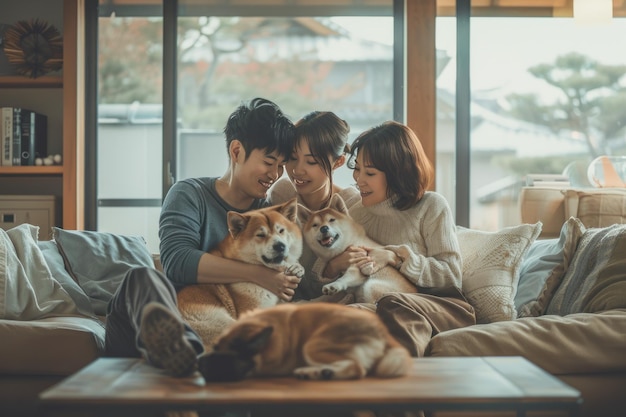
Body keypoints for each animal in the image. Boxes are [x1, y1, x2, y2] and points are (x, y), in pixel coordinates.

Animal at [200, 300, 412, 380]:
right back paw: (319, 372)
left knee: (357, 368)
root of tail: (382, 330)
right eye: (215, 347)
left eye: (227, 357)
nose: (199, 362)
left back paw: (313, 372)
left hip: (312, 345)